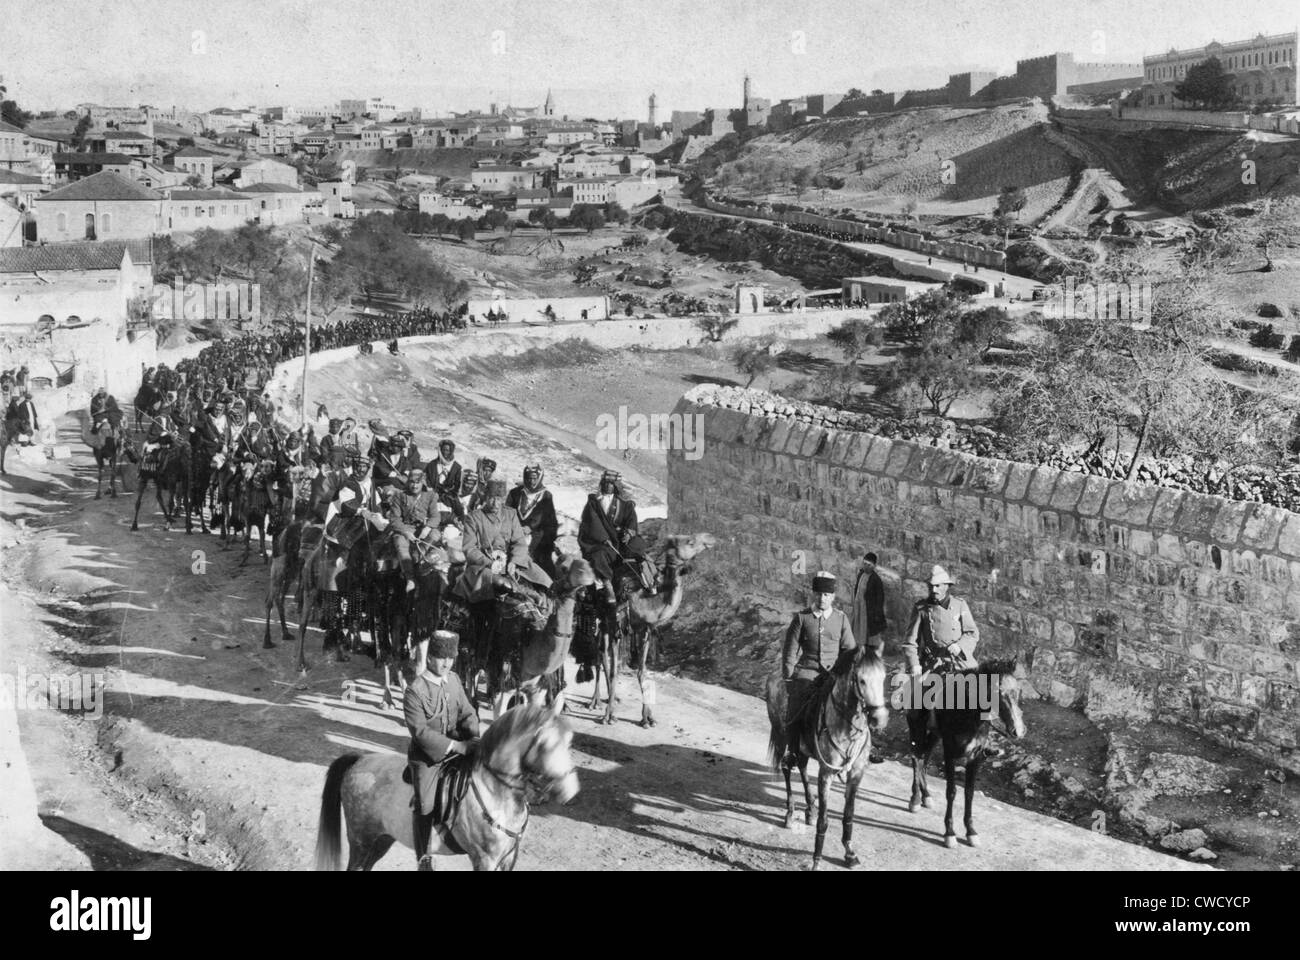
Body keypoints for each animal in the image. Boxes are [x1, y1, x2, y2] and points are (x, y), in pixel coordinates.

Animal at [312, 697, 577, 868]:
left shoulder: (508, 858)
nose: (571, 791)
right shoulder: (485, 860)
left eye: (569, 741)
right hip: (361, 840)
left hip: (381, 839)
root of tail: (359, 760)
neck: (495, 791)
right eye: (547, 744)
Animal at [764, 642, 889, 868]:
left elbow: (848, 815)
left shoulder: (856, 774)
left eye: (883, 678)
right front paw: (816, 859)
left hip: (802, 749)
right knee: (787, 767)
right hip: (785, 737)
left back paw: (809, 810)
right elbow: (824, 821)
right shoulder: (826, 773)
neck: (847, 725)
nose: (880, 718)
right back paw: (790, 813)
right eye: (862, 680)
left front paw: (849, 853)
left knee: (802, 768)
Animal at [904, 658, 1024, 842]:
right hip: (917, 730)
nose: (1017, 730)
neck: (967, 713)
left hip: (934, 736)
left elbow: (969, 793)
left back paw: (926, 796)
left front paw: (971, 831)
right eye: (997, 690)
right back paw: (915, 799)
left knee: (924, 760)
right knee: (916, 759)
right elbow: (951, 792)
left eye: (1017, 690)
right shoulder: (950, 754)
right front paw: (950, 832)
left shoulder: (975, 757)